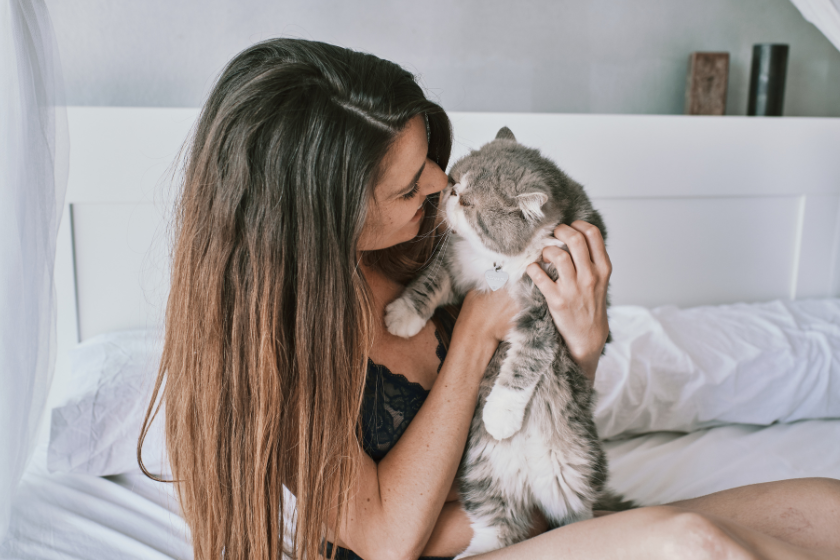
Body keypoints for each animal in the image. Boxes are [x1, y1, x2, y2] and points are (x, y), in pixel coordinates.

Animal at [382, 128, 632, 560]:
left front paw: (500, 415)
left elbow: (525, 364)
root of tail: (527, 482)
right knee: (499, 529)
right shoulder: (456, 269)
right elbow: (429, 282)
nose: (448, 193)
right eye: (454, 181)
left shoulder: (546, 314)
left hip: (577, 474)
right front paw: (402, 316)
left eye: (468, 202)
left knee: (572, 516)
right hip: (481, 476)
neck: (499, 262)